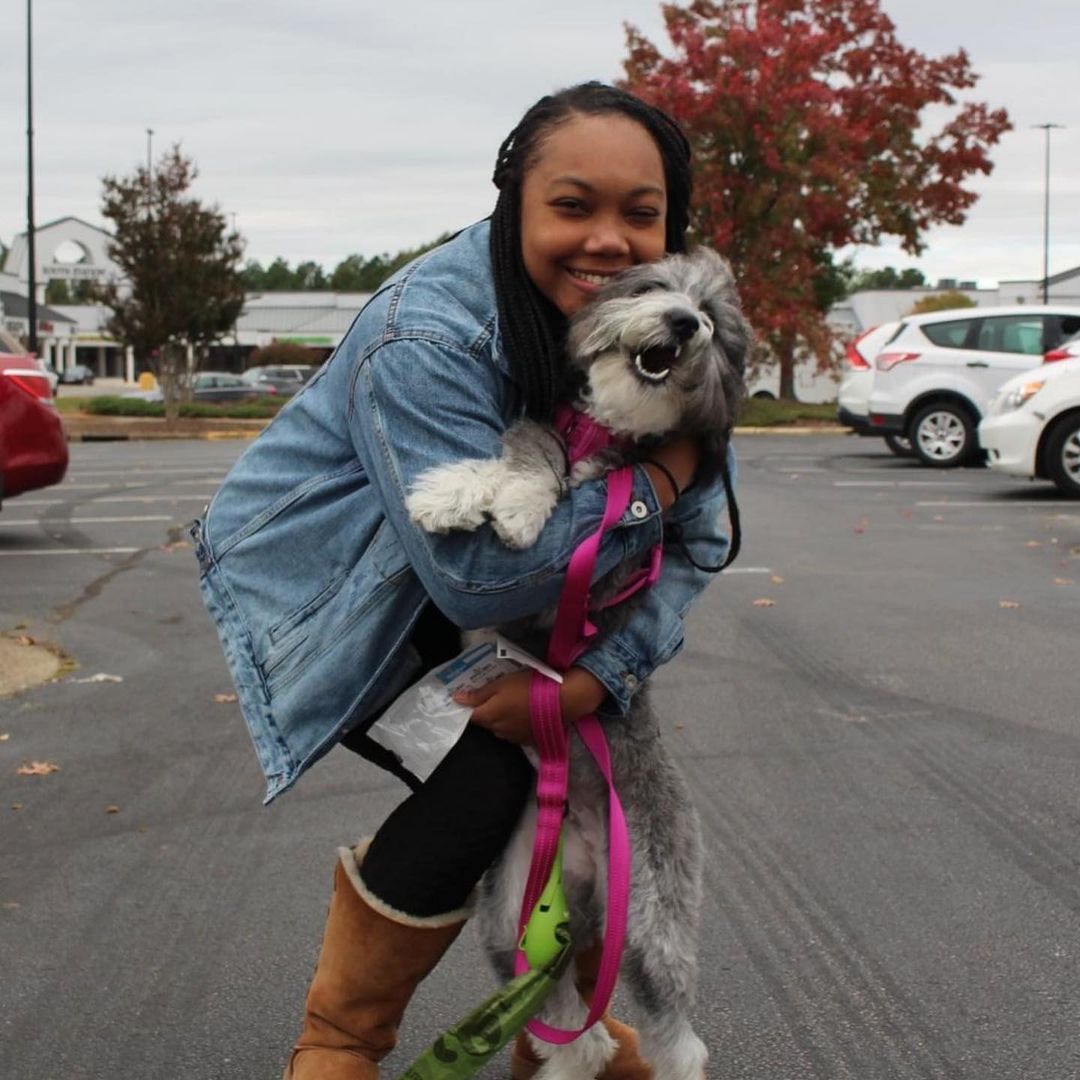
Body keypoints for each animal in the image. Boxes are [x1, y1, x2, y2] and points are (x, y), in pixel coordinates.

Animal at [406, 248, 751, 1080]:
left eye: (714, 322)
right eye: (657, 287)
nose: (683, 323)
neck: (610, 430)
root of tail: (589, 858)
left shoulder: (610, 560)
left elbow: (583, 499)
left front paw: (520, 511)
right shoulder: (545, 428)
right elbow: (530, 447)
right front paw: (456, 494)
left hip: (655, 913)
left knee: (673, 1030)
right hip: (510, 912)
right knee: (568, 1018)